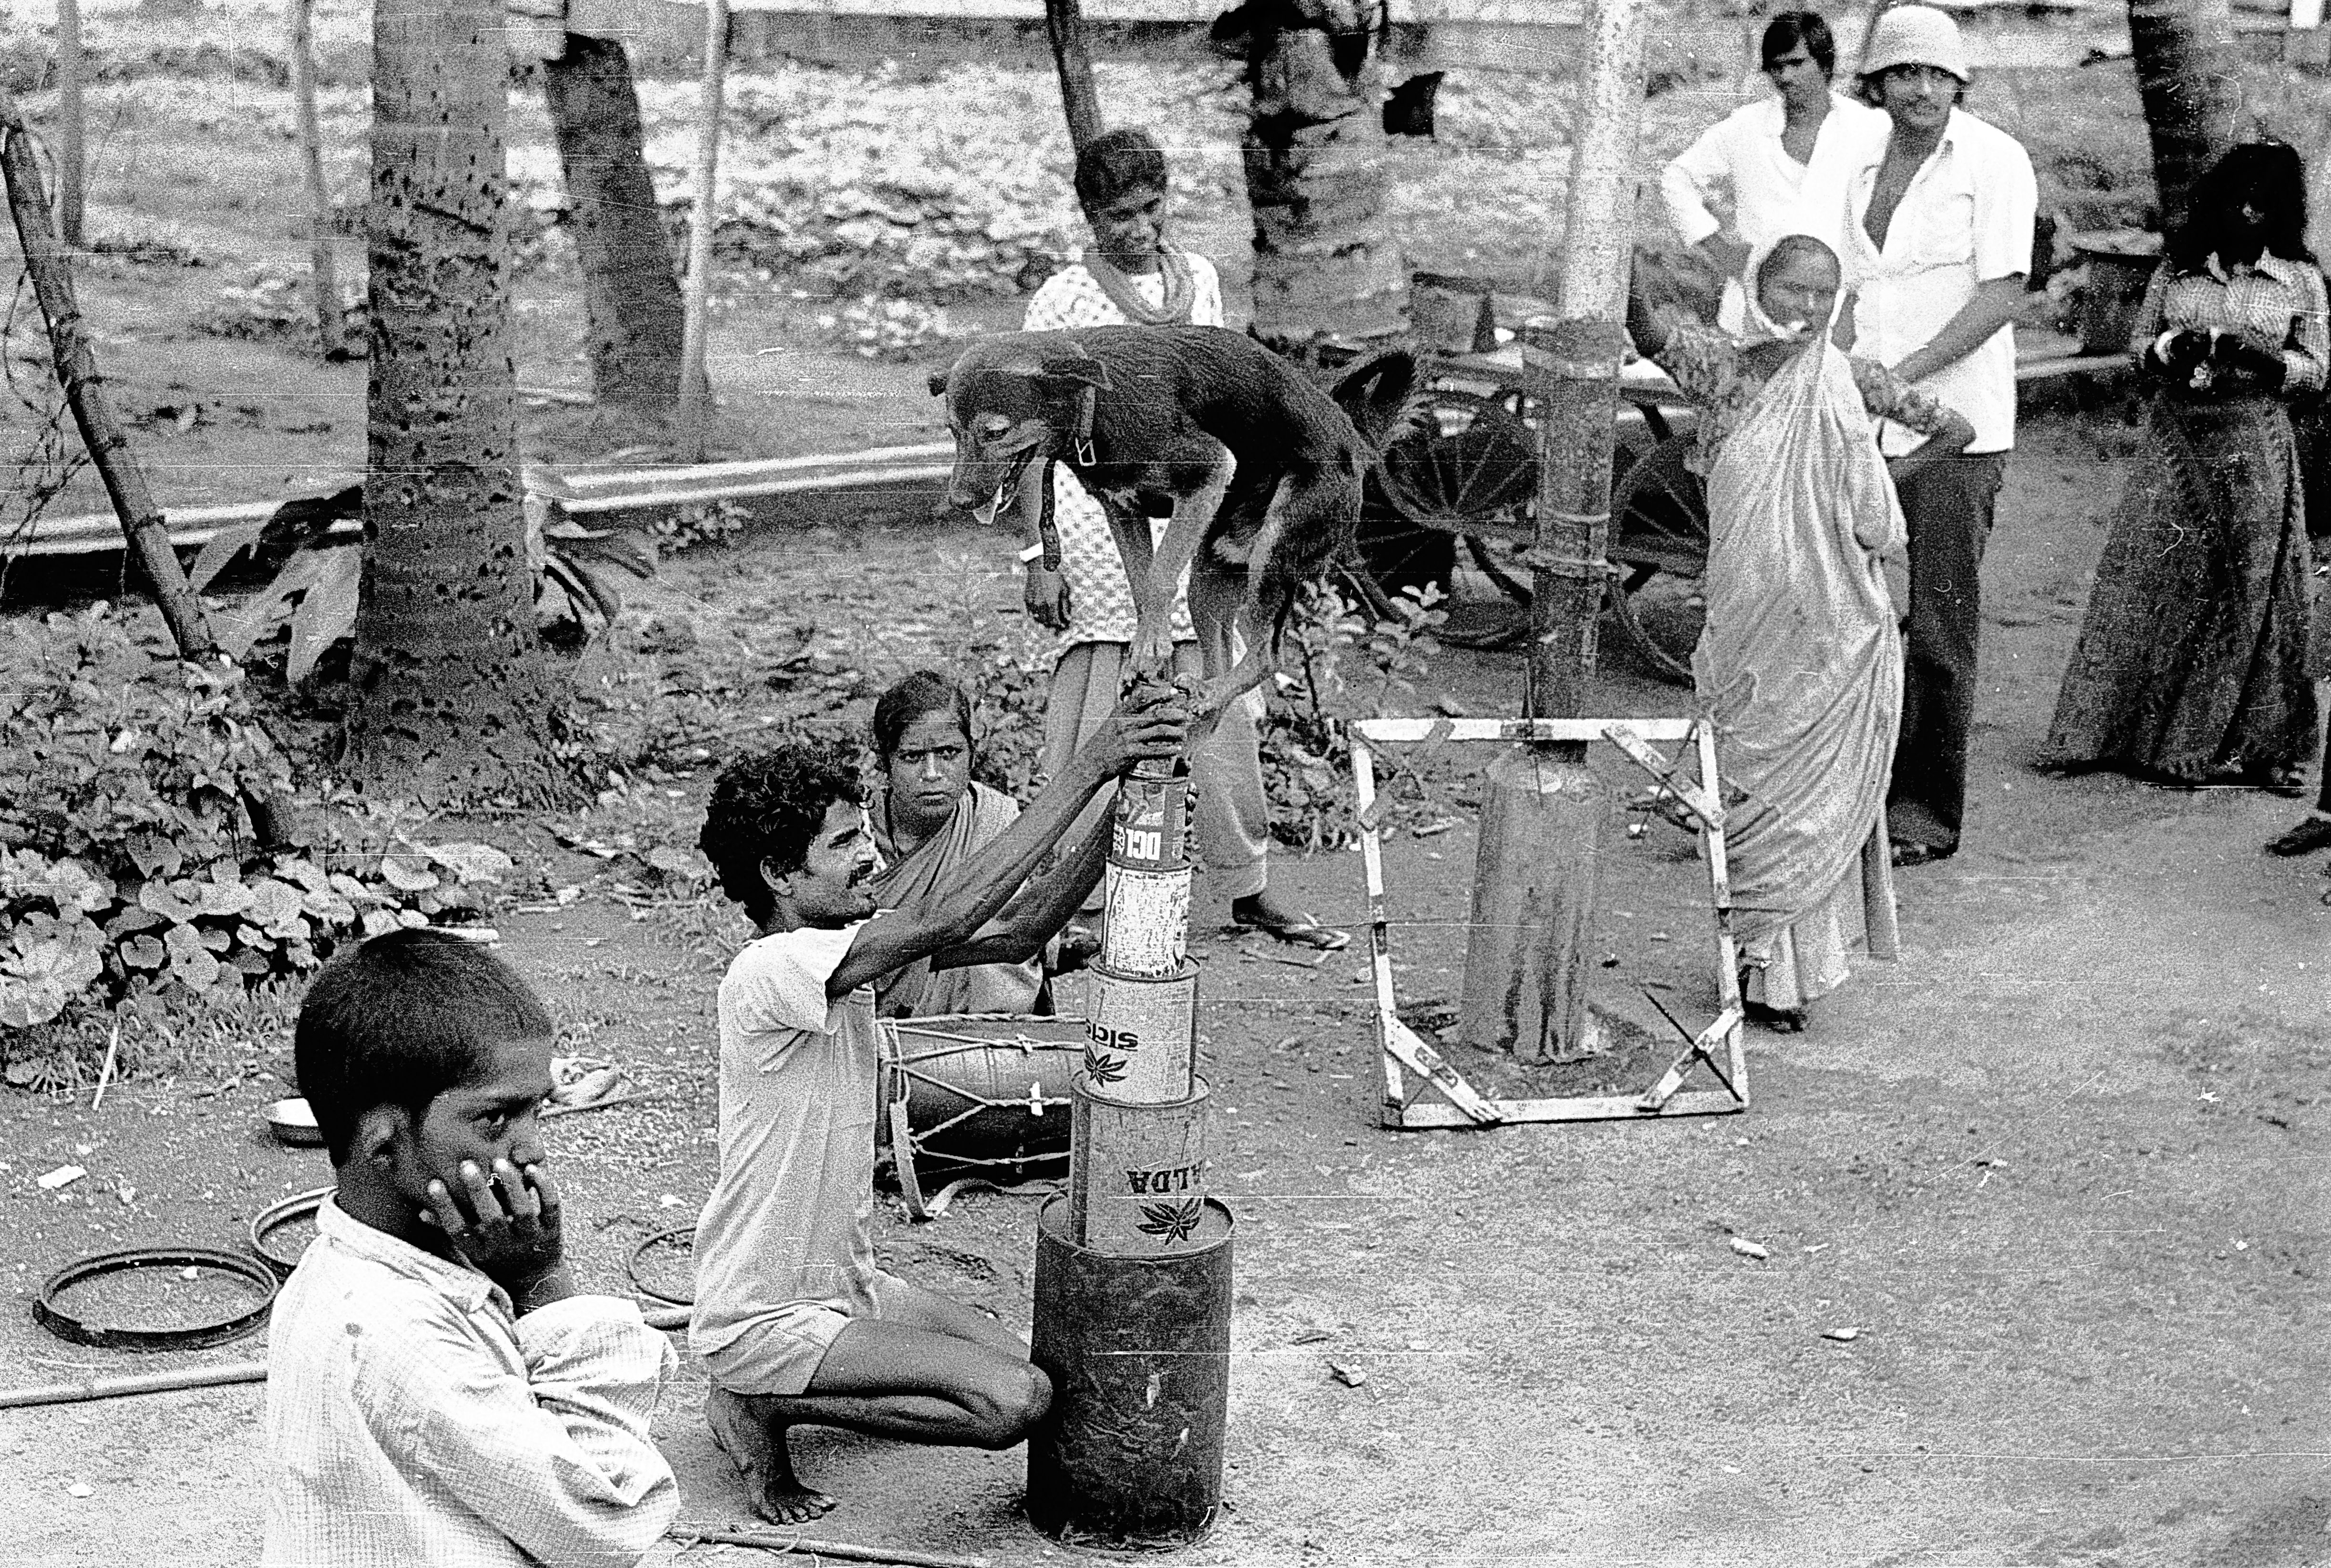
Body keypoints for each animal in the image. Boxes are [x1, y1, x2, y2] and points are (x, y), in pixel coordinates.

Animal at [932, 330, 1417, 722]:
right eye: (953, 431)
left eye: (995, 432)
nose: (959, 501)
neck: (1096, 401)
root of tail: (1357, 441)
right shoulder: (1123, 510)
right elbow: (1143, 585)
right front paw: (1149, 651)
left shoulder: (1207, 473)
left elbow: (1159, 578)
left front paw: (1148, 649)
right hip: (1210, 574)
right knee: (1221, 655)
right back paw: (1205, 703)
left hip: (1274, 551)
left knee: (1267, 656)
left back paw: (1213, 694)